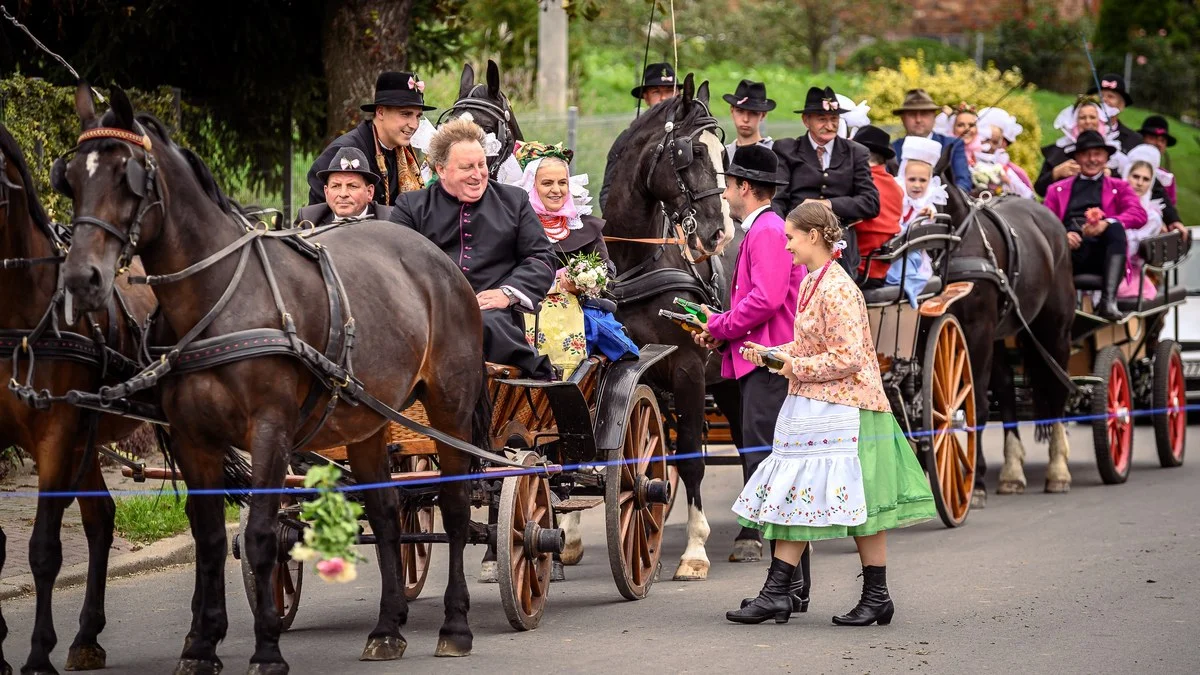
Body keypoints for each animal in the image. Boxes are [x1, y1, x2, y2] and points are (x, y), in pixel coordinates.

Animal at [56, 85, 487, 672]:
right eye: (71, 178)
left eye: (127, 177)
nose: (83, 277)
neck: (220, 298)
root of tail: (437, 260)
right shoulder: (194, 437)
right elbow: (211, 537)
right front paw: (201, 646)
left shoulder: (269, 431)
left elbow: (261, 535)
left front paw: (266, 650)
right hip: (368, 418)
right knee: (386, 511)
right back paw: (387, 626)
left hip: (450, 408)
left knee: (456, 505)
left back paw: (456, 623)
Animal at [600, 74, 729, 578]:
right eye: (690, 154)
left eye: (724, 153)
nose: (718, 233)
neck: (638, 260)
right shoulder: (633, 368)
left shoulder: (690, 367)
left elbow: (692, 457)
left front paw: (695, 550)